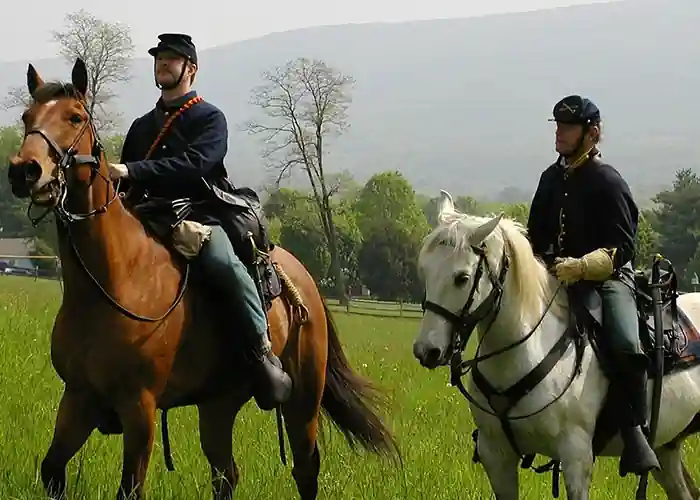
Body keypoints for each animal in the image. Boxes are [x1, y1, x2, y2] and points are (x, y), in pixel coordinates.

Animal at [6, 59, 400, 500]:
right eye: (27, 117)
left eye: (74, 117)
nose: (25, 171)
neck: (110, 283)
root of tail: (305, 282)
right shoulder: (78, 398)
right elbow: (52, 469)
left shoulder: (139, 408)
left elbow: (130, 487)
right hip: (218, 405)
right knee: (226, 474)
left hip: (303, 401)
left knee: (305, 470)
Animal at [412, 189, 700, 498]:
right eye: (424, 271)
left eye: (462, 278)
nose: (426, 351)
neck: (523, 353)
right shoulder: (496, 456)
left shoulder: (575, 457)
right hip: (667, 448)